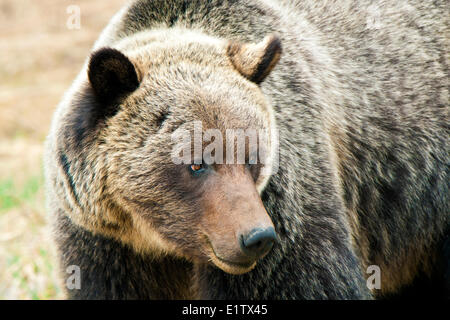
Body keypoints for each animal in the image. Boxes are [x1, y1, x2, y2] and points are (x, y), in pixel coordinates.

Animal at [44, 0, 448, 300]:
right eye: (196, 163)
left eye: (252, 156)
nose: (257, 237)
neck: (159, 241)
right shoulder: (105, 242)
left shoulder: (286, 200)